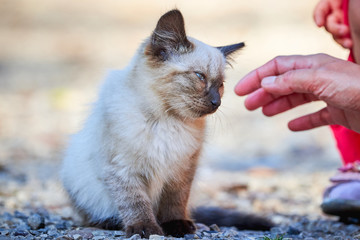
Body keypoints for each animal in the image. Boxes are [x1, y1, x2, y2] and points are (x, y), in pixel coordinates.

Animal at [60, 8, 272, 238]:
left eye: (221, 85)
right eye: (200, 77)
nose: (217, 102)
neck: (166, 120)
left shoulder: (182, 170)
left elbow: (175, 202)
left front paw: (176, 225)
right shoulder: (123, 169)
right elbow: (136, 203)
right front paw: (145, 229)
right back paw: (109, 222)